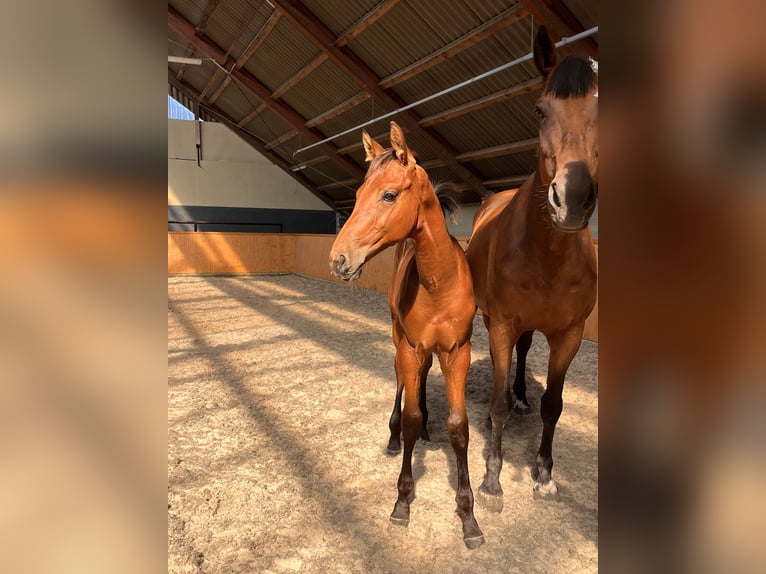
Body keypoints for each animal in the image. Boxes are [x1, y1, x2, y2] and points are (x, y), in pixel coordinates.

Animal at [330, 122, 486, 552]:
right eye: (356, 195)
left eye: (388, 194)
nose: (338, 259)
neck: (438, 282)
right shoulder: (412, 348)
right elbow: (413, 416)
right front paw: (402, 502)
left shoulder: (457, 352)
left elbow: (459, 427)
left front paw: (469, 518)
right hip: (400, 341)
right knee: (402, 383)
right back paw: (394, 436)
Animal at [468, 25, 600, 504]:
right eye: (540, 110)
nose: (572, 198)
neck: (548, 258)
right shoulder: (503, 323)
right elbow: (498, 401)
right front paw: (492, 476)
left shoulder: (570, 335)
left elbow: (554, 405)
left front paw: (543, 474)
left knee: (525, 354)